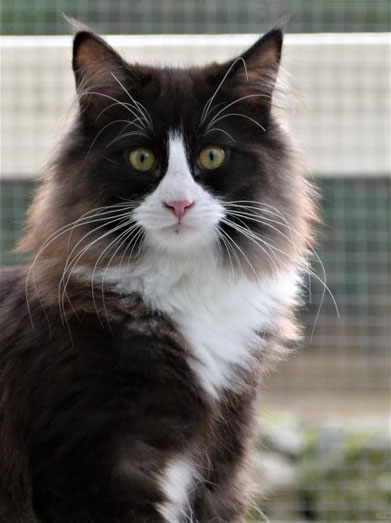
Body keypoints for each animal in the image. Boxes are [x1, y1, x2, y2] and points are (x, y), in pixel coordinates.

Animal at [0, 24, 316, 523]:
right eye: (142, 159)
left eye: (212, 155)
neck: (182, 295)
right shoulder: (89, 469)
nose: (179, 204)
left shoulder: (220, 466)